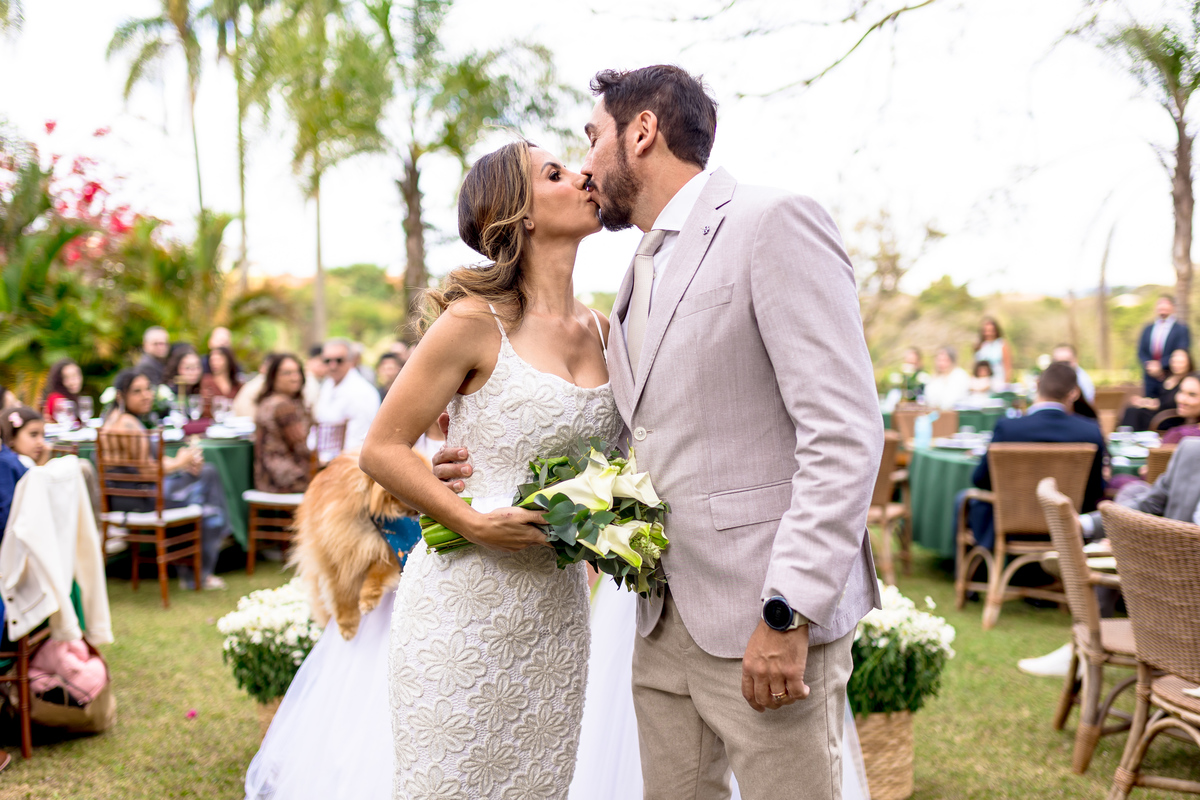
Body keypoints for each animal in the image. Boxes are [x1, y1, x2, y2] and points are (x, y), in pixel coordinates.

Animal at [288, 453, 420, 641]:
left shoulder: (388, 549)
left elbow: (377, 573)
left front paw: (367, 600)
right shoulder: (335, 557)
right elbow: (343, 593)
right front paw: (347, 625)